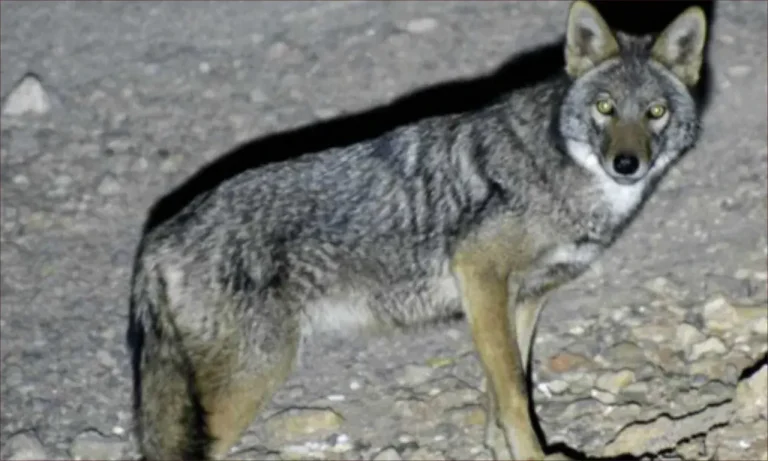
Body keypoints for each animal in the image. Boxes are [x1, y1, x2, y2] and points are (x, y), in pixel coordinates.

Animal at [127, 1, 708, 459]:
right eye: (605, 107)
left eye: (655, 111)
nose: (626, 164)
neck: (563, 171)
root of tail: (159, 235)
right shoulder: (480, 276)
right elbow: (514, 396)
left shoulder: (521, 301)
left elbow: (502, 397)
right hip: (247, 385)